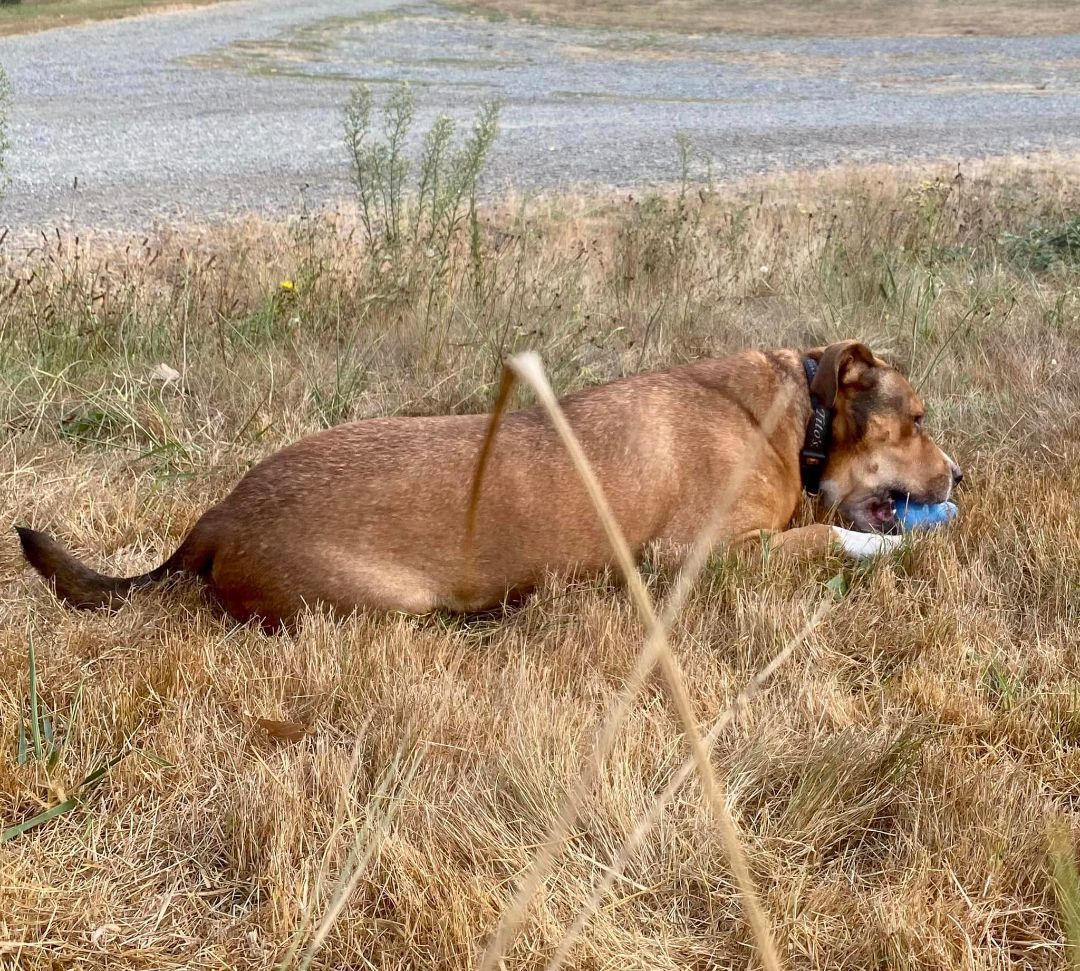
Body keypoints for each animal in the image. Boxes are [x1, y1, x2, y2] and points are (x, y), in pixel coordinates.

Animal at [16, 341, 963, 630]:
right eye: (917, 416)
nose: (962, 474)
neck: (796, 415)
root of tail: (218, 514)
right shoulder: (698, 556)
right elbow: (834, 534)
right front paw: (889, 547)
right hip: (380, 603)